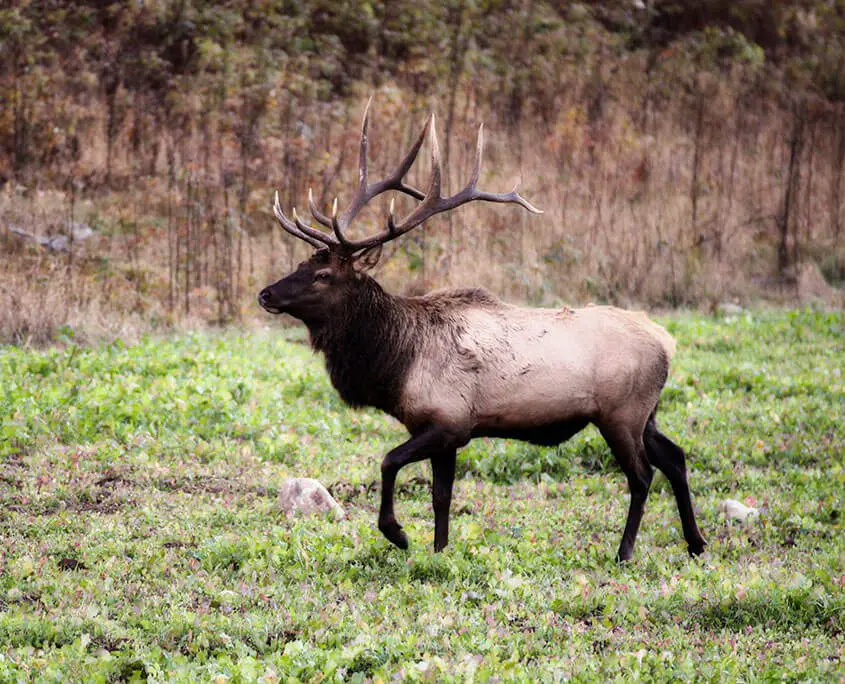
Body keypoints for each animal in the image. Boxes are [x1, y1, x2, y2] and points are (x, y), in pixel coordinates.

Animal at [258, 101, 707, 562]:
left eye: (323, 275)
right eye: (301, 264)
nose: (265, 293)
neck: (396, 364)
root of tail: (666, 341)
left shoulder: (449, 422)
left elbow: (388, 462)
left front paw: (398, 534)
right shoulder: (441, 432)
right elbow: (441, 497)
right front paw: (439, 551)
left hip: (621, 412)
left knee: (643, 475)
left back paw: (625, 552)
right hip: (646, 412)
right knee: (675, 457)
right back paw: (696, 542)